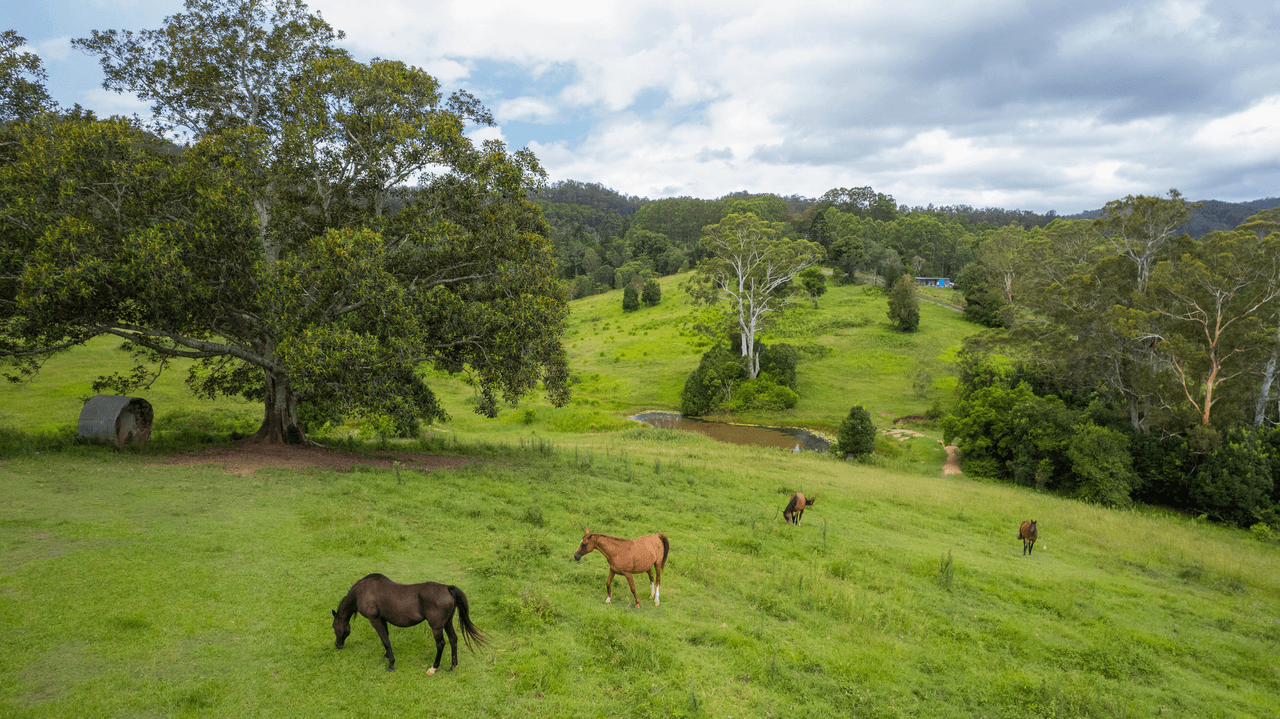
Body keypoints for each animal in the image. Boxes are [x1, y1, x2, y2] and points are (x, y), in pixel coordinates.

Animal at [330, 570, 483, 670]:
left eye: (334, 627)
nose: (338, 645)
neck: (362, 591)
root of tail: (447, 588)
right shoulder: (382, 619)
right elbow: (386, 638)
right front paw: (387, 656)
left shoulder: (375, 619)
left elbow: (385, 640)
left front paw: (391, 664)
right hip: (447, 623)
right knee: (453, 639)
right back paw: (453, 666)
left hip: (437, 627)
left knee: (440, 644)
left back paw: (434, 667)